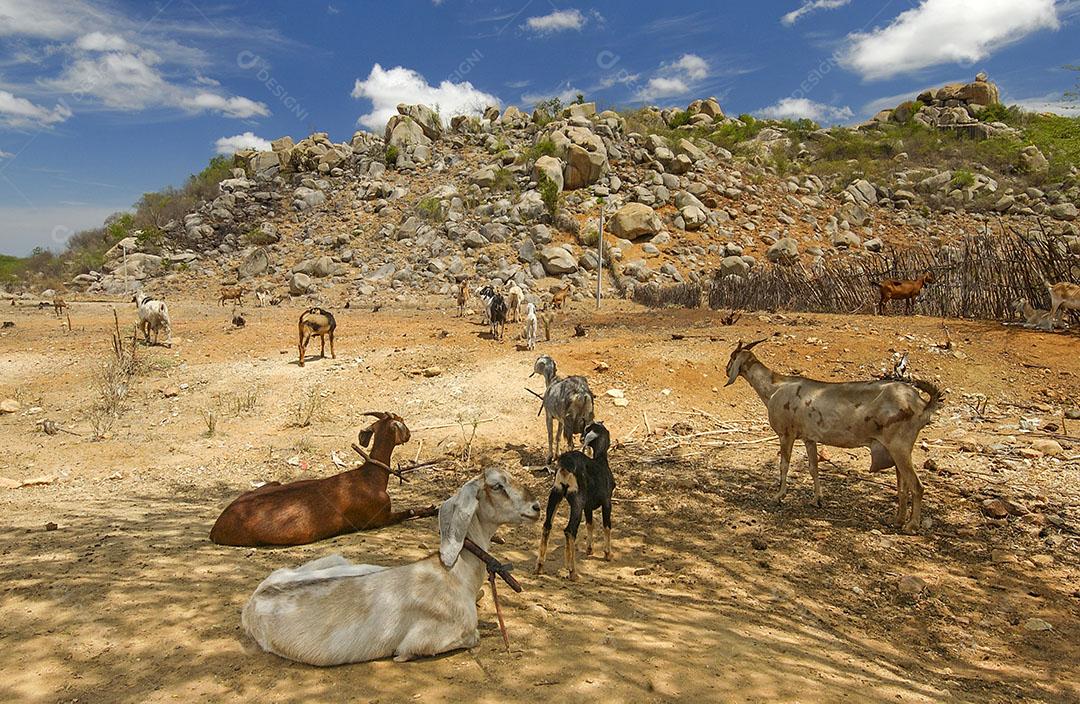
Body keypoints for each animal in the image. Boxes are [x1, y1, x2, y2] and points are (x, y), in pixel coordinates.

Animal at [211, 412, 434, 546]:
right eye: (402, 421)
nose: (409, 435)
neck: (370, 476)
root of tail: (215, 529)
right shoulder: (378, 519)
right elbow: (409, 512)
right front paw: (431, 508)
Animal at [240, 467, 540, 665]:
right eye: (497, 486)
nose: (536, 507)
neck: (453, 575)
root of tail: (252, 601)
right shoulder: (422, 640)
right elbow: (471, 636)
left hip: (341, 561)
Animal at [536, 422, 614, 580]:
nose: (581, 438)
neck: (601, 461)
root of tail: (566, 465)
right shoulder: (606, 501)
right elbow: (606, 525)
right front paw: (607, 554)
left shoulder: (587, 506)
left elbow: (590, 524)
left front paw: (589, 549)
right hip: (577, 500)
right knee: (570, 530)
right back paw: (573, 572)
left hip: (555, 494)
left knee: (547, 525)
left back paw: (540, 567)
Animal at [725, 339, 942, 534]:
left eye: (732, 356)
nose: (727, 370)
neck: (775, 387)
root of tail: (921, 404)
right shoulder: (809, 438)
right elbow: (813, 468)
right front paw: (817, 500)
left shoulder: (786, 434)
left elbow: (784, 465)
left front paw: (779, 496)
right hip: (896, 451)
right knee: (902, 486)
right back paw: (897, 520)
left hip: (900, 447)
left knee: (917, 486)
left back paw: (911, 526)